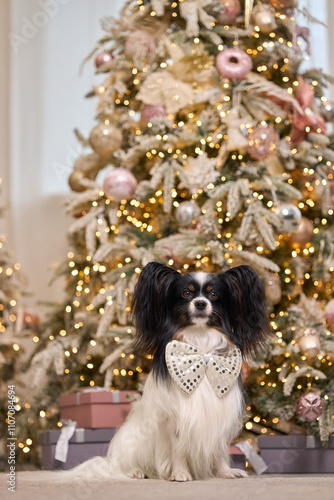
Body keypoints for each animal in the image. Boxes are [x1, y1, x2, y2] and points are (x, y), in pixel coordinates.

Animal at [32, 260, 270, 482]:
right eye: (186, 293)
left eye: (214, 294)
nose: (201, 303)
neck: (200, 345)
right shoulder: (175, 416)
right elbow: (178, 448)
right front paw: (180, 473)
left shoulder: (219, 414)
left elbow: (218, 448)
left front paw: (224, 472)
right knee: (122, 466)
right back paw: (136, 472)